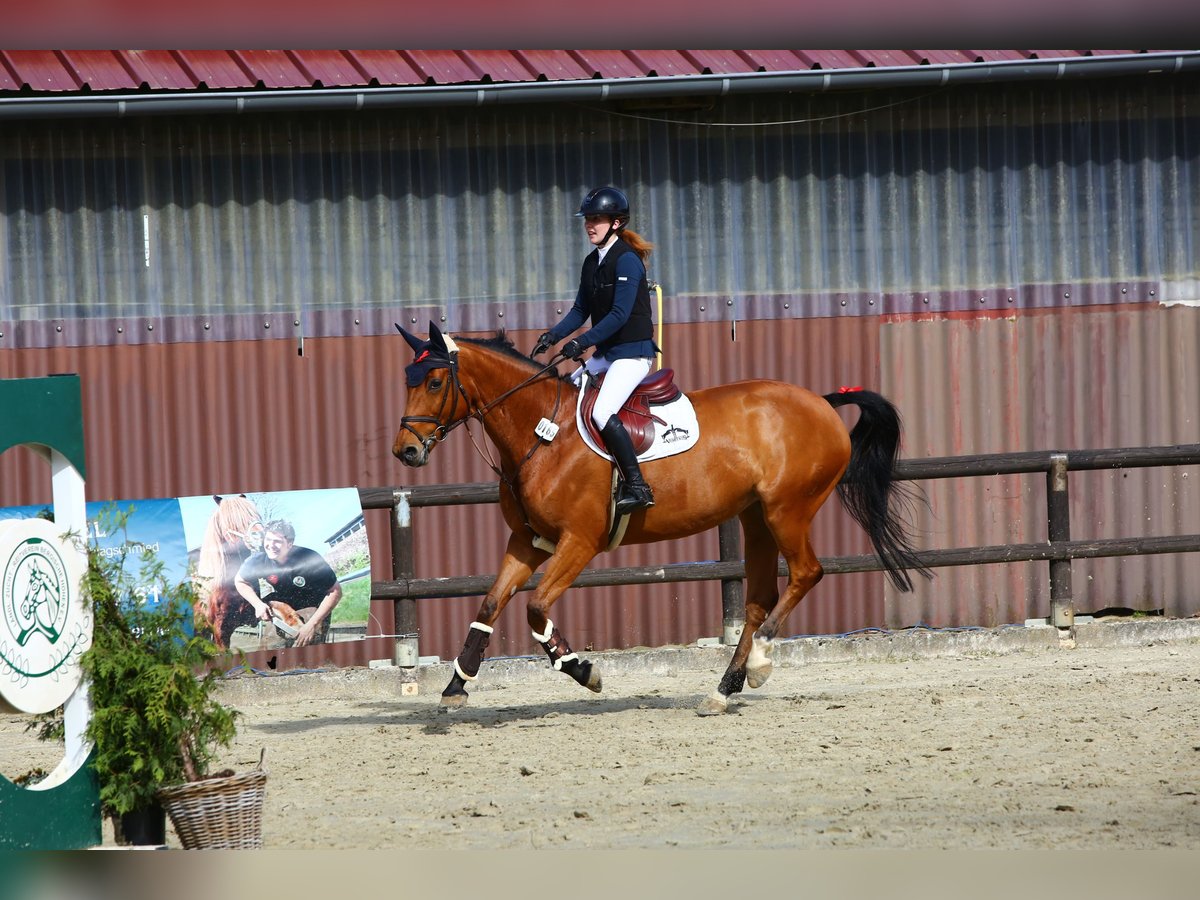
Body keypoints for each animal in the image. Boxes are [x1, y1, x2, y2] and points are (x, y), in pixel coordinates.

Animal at [393, 324, 926, 720]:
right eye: (408, 381)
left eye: (435, 383)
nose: (406, 452)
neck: (543, 431)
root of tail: (820, 402)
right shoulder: (528, 540)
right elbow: (489, 605)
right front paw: (456, 685)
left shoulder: (579, 541)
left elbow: (536, 607)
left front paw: (582, 670)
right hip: (756, 517)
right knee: (759, 599)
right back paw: (723, 689)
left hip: (787, 510)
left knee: (806, 573)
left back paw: (758, 662)